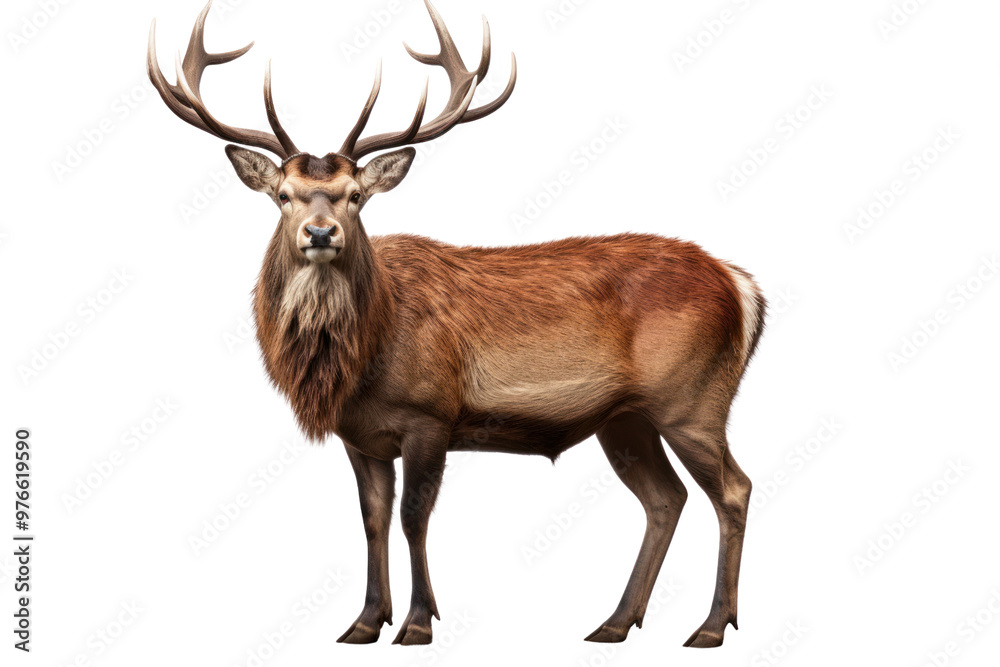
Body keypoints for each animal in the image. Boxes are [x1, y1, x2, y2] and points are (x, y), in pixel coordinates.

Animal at [148, 0, 765, 648]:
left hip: (692, 399)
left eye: (354, 195)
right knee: (665, 498)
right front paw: (364, 621)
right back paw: (616, 622)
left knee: (734, 489)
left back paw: (712, 626)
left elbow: (414, 518)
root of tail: (741, 285)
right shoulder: (359, 435)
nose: (320, 233)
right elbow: (372, 519)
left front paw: (418, 622)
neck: (363, 356)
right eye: (284, 195)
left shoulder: (431, 414)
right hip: (625, 418)